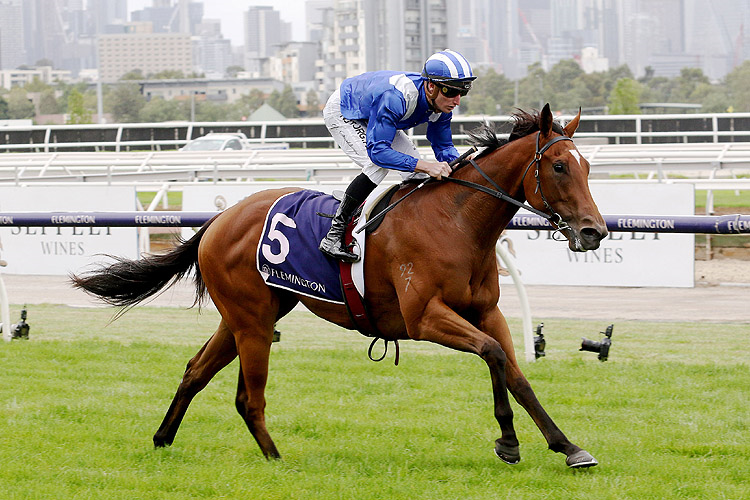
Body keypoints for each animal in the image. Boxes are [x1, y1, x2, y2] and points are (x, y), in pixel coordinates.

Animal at [73, 104, 608, 468]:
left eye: (587, 167)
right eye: (559, 166)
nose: (594, 231)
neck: (457, 222)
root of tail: (220, 218)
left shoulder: (487, 312)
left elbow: (512, 371)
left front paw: (562, 445)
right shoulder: (425, 318)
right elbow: (494, 356)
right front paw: (517, 442)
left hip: (248, 315)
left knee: (195, 371)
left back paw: (163, 438)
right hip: (253, 321)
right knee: (248, 397)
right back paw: (276, 459)